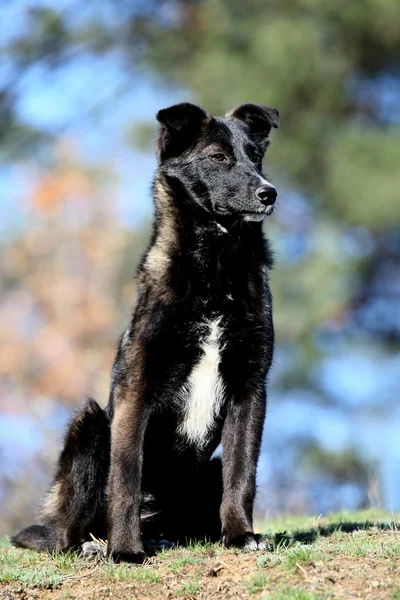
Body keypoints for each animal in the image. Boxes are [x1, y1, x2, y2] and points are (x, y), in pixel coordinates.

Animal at [13, 103, 282, 564]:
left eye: (255, 156)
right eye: (217, 157)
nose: (270, 193)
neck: (214, 271)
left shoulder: (250, 389)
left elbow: (242, 473)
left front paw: (241, 535)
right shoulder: (135, 389)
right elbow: (126, 477)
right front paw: (125, 551)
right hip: (90, 425)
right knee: (69, 532)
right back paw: (95, 545)